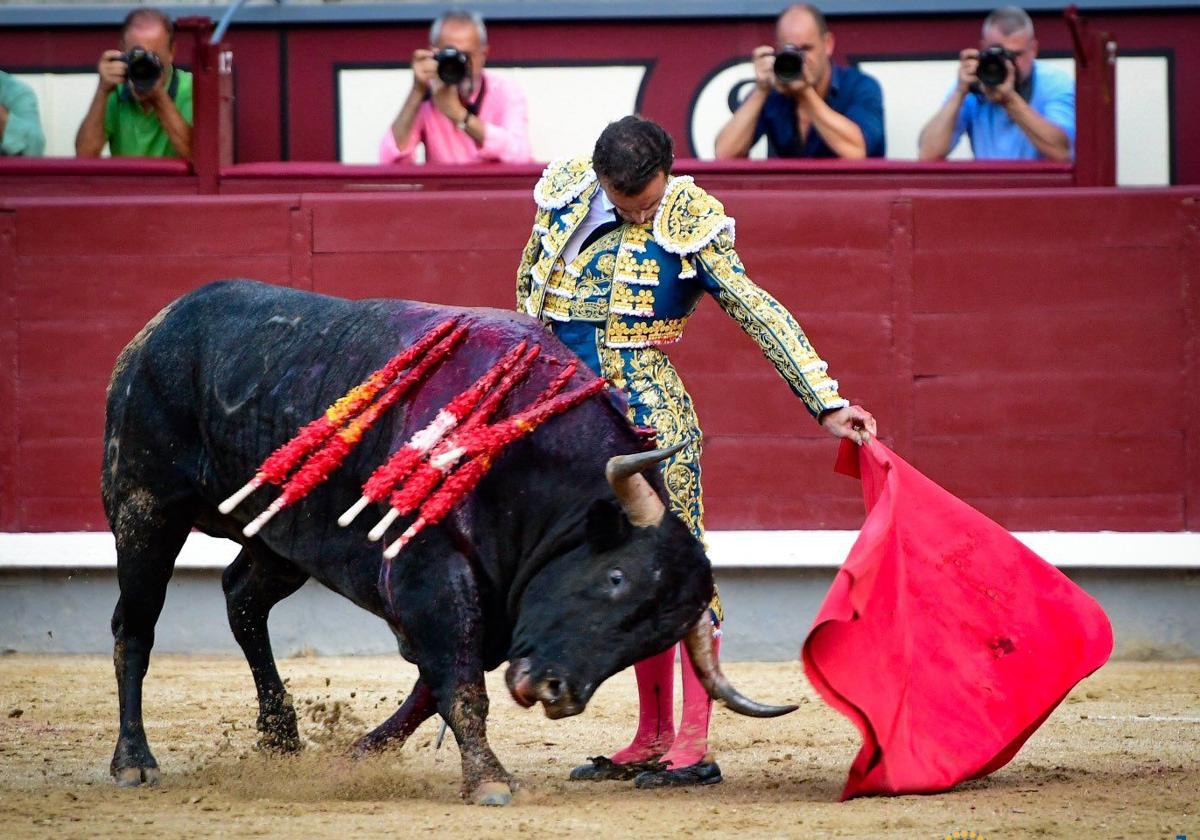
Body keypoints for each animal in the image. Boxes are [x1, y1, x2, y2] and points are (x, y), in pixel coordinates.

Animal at [103, 282, 792, 806]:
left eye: (652, 638)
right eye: (616, 577)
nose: (556, 693)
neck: (526, 461)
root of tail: (160, 325)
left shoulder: (494, 599)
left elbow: (434, 685)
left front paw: (355, 755)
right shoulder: (430, 574)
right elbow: (456, 681)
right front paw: (488, 780)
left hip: (279, 537)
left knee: (241, 599)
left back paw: (280, 738)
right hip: (144, 509)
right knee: (134, 626)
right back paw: (134, 761)